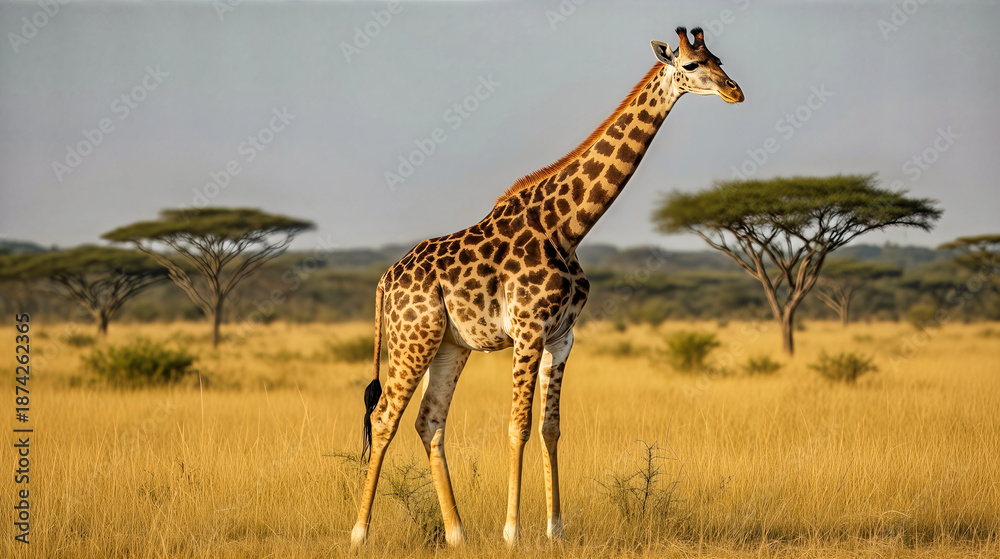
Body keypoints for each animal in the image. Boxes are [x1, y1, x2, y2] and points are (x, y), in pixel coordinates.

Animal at [350, 27, 743, 547]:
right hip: (412, 337)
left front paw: (556, 528)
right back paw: (360, 532)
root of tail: (385, 280)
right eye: (692, 65)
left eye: (718, 57)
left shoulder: (562, 337)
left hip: (450, 344)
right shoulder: (528, 330)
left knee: (428, 421)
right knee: (384, 418)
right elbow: (517, 426)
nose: (734, 91)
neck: (567, 226)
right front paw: (512, 531)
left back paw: (457, 533)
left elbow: (550, 428)